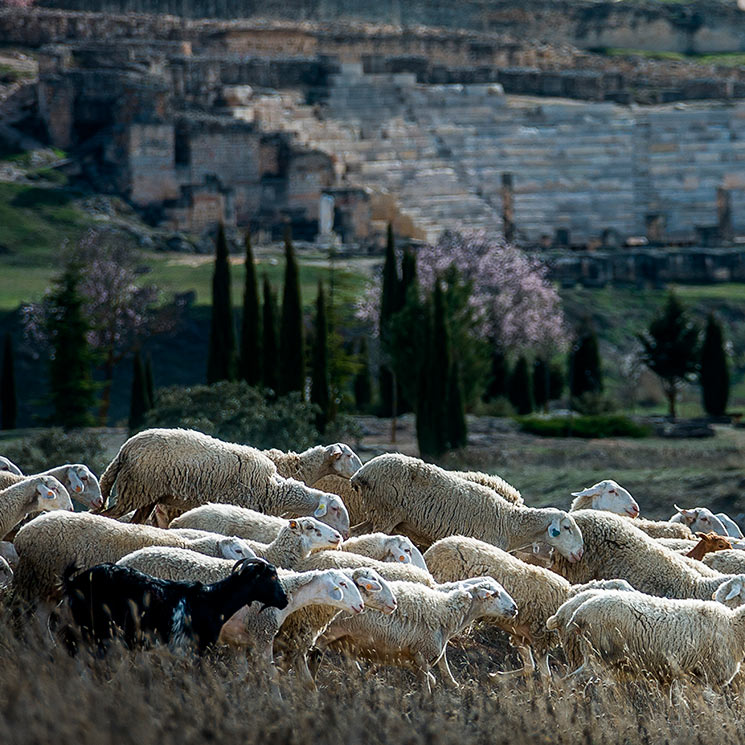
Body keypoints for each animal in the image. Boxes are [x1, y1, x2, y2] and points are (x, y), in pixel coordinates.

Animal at [61, 556, 288, 652]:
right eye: (272, 577)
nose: (284, 600)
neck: (213, 601)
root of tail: (74, 582)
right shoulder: (197, 647)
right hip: (90, 629)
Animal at [97, 428, 350, 536]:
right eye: (335, 509)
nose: (346, 534)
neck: (273, 487)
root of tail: (124, 449)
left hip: (147, 496)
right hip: (135, 490)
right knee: (105, 516)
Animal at [318, 576, 516, 692]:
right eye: (495, 594)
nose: (515, 608)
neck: (446, 612)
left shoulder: (413, 657)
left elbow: (432, 680)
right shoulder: (421, 653)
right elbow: (427, 688)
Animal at [352, 454, 584, 560]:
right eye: (566, 528)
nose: (580, 552)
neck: (510, 523)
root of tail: (362, 473)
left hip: (376, 514)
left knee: (355, 533)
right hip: (386, 512)